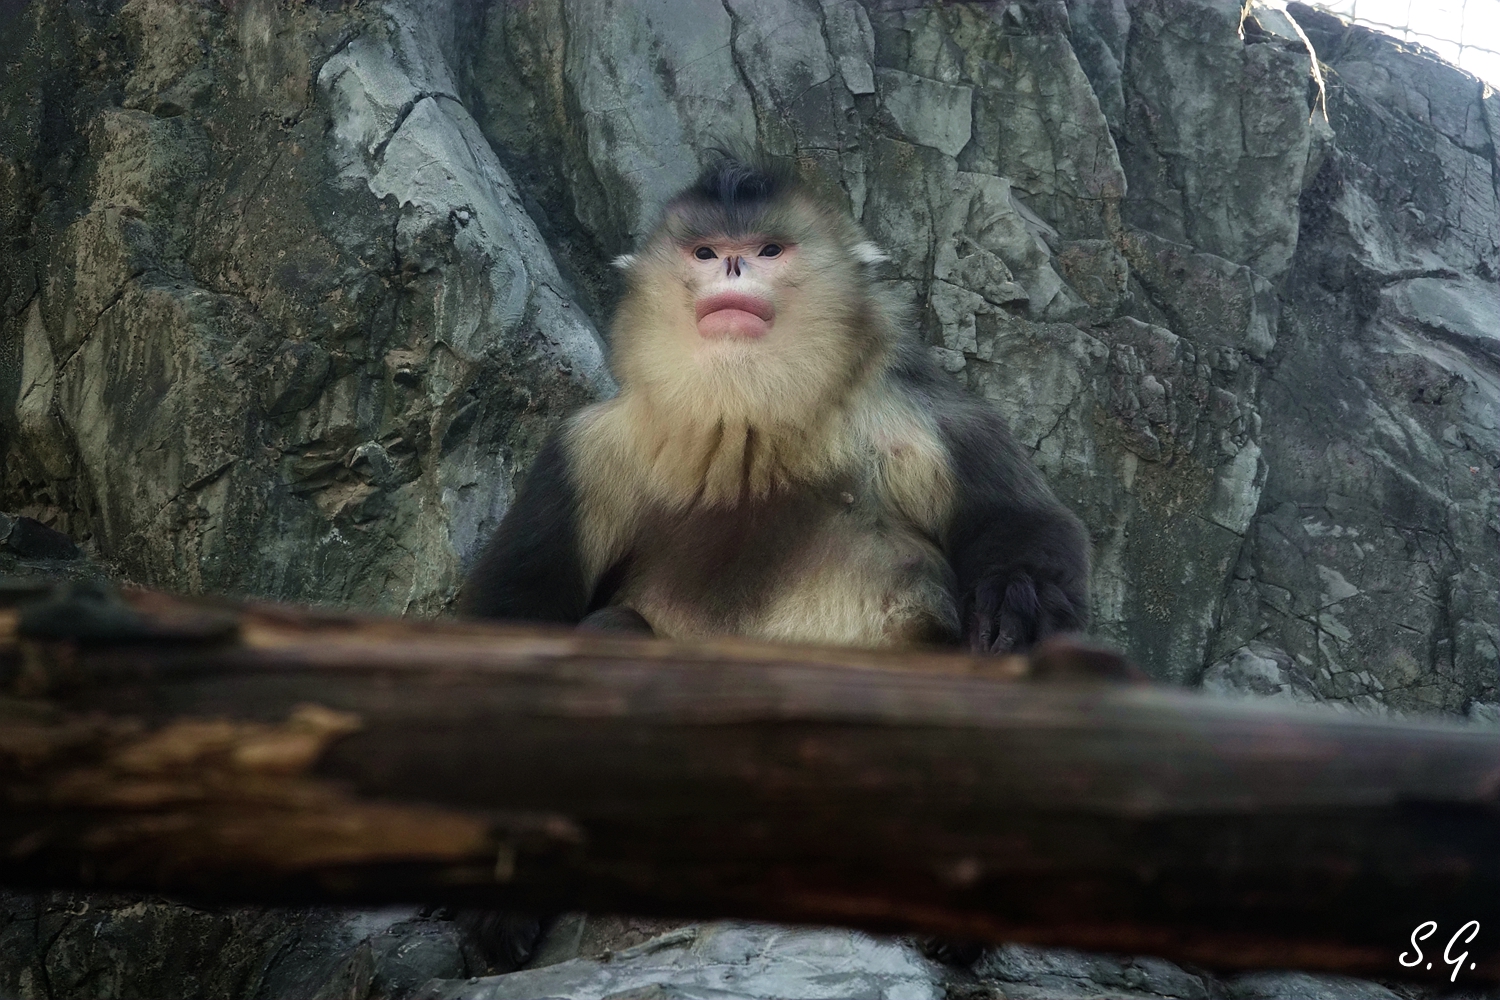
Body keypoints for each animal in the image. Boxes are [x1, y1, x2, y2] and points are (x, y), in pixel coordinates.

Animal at [459, 155, 1090, 655]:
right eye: (706, 252)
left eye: (767, 250)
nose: (733, 267)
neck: (747, 424)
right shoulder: (587, 446)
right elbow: (514, 606)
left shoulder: (922, 409)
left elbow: (1022, 524)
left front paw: (1013, 600)